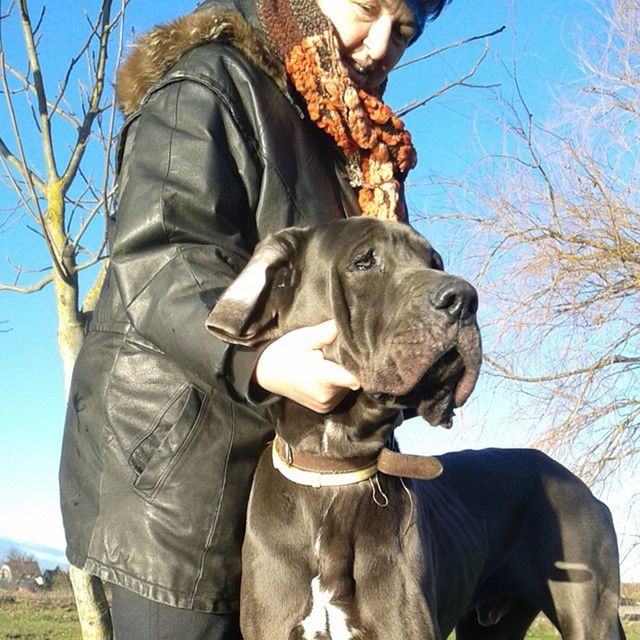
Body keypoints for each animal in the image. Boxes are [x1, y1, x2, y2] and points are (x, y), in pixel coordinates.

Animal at [206, 216, 624, 640]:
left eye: (434, 262)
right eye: (363, 261)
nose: (464, 299)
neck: (336, 465)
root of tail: (583, 487)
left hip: (591, 615)